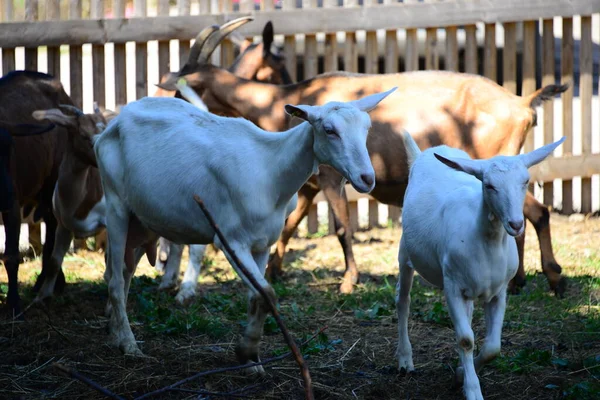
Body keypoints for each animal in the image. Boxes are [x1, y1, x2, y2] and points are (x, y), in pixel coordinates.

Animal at [94, 85, 396, 362]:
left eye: (367, 128)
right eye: (330, 130)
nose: (367, 178)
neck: (271, 170)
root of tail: (108, 130)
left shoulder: (263, 244)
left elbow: (257, 296)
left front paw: (251, 359)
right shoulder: (232, 240)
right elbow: (267, 294)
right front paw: (247, 351)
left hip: (141, 220)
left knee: (122, 274)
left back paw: (115, 334)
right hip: (116, 204)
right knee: (115, 281)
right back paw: (130, 346)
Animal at [159, 61, 568, 296]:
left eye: (183, 87)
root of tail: (522, 103)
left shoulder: (330, 177)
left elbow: (341, 227)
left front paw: (348, 281)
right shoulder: (309, 184)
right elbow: (290, 224)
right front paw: (274, 270)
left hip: (493, 165)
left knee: (536, 212)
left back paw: (550, 278)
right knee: (526, 215)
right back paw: (519, 280)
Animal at [396, 131, 564, 400]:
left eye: (525, 181)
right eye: (489, 185)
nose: (516, 224)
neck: (487, 243)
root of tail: (424, 153)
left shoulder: (499, 290)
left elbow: (493, 347)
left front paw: (459, 376)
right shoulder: (452, 286)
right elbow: (466, 339)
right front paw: (473, 390)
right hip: (405, 253)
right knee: (403, 301)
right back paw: (405, 360)